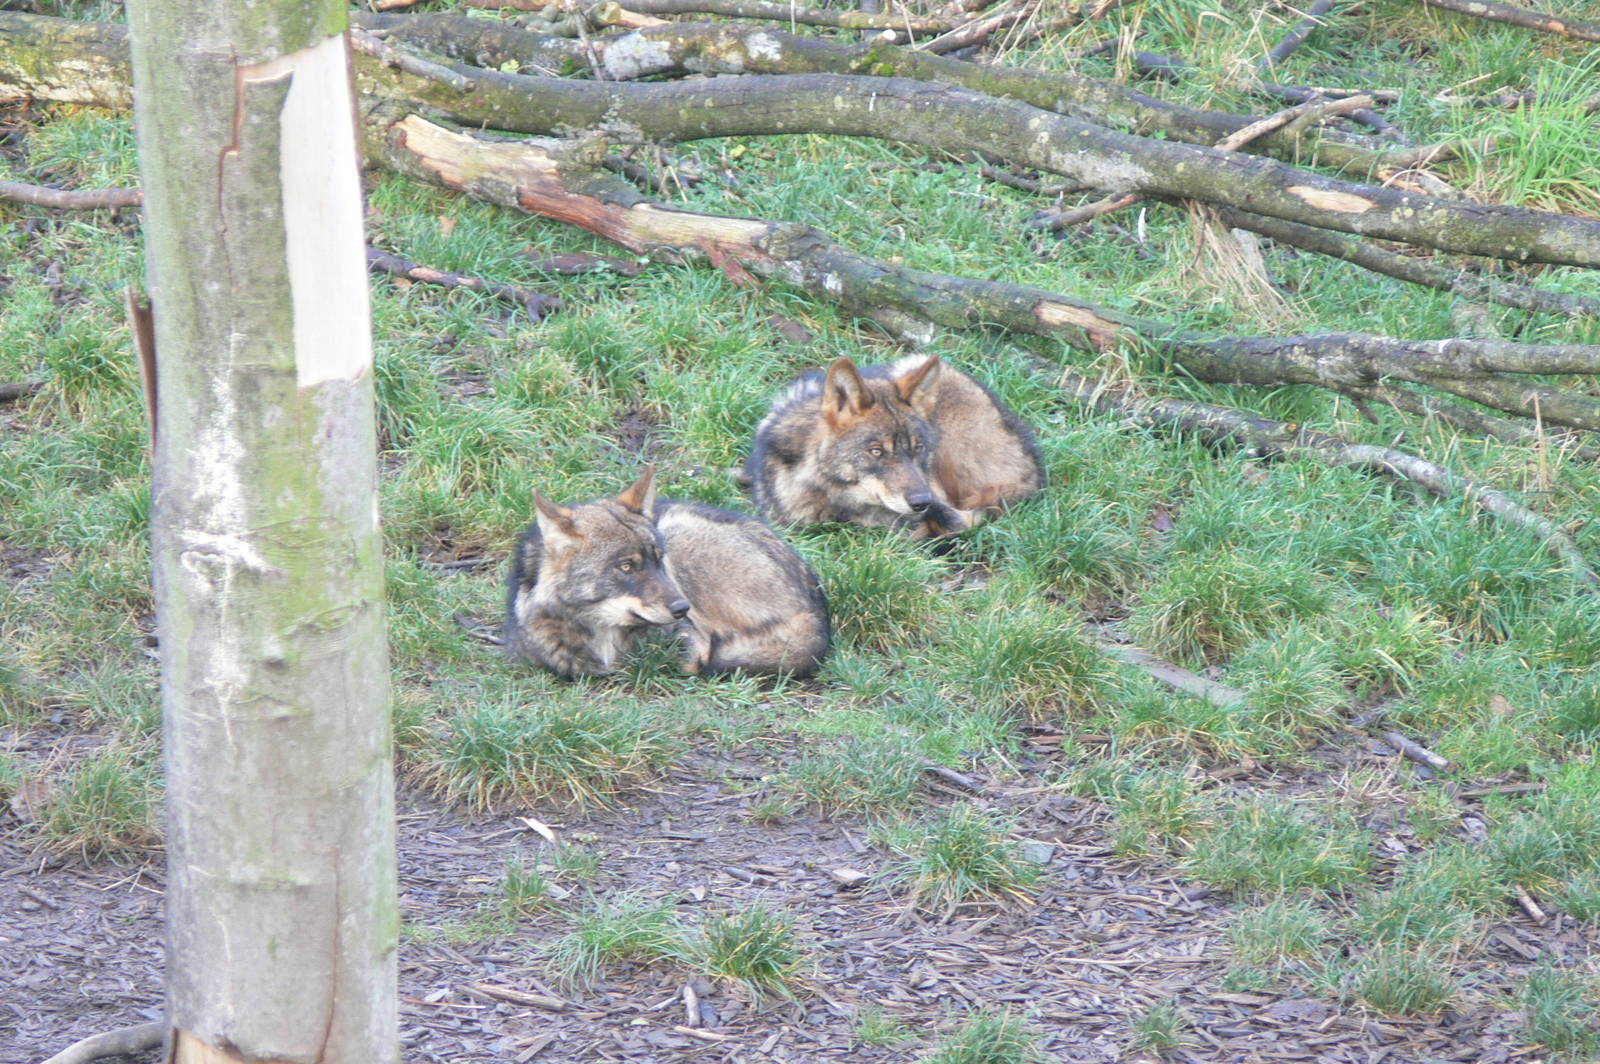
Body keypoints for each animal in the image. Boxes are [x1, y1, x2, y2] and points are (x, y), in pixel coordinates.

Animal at [505, 467, 830, 678]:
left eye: (658, 560)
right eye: (627, 566)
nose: (682, 608)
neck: (603, 636)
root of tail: (816, 612)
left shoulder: (693, 643)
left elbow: (689, 661)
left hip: (677, 532)